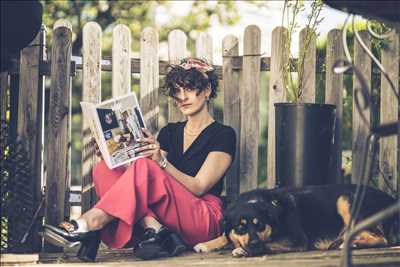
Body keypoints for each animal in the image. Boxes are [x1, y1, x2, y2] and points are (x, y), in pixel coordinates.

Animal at [193, 186, 396, 258]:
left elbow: (269, 243)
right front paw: (206, 244)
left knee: (382, 239)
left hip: (346, 200)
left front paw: (242, 250)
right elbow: (225, 236)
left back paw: (350, 243)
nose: (255, 244)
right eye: (240, 227)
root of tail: (391, 200)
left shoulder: (296, 239)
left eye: (260, 225)